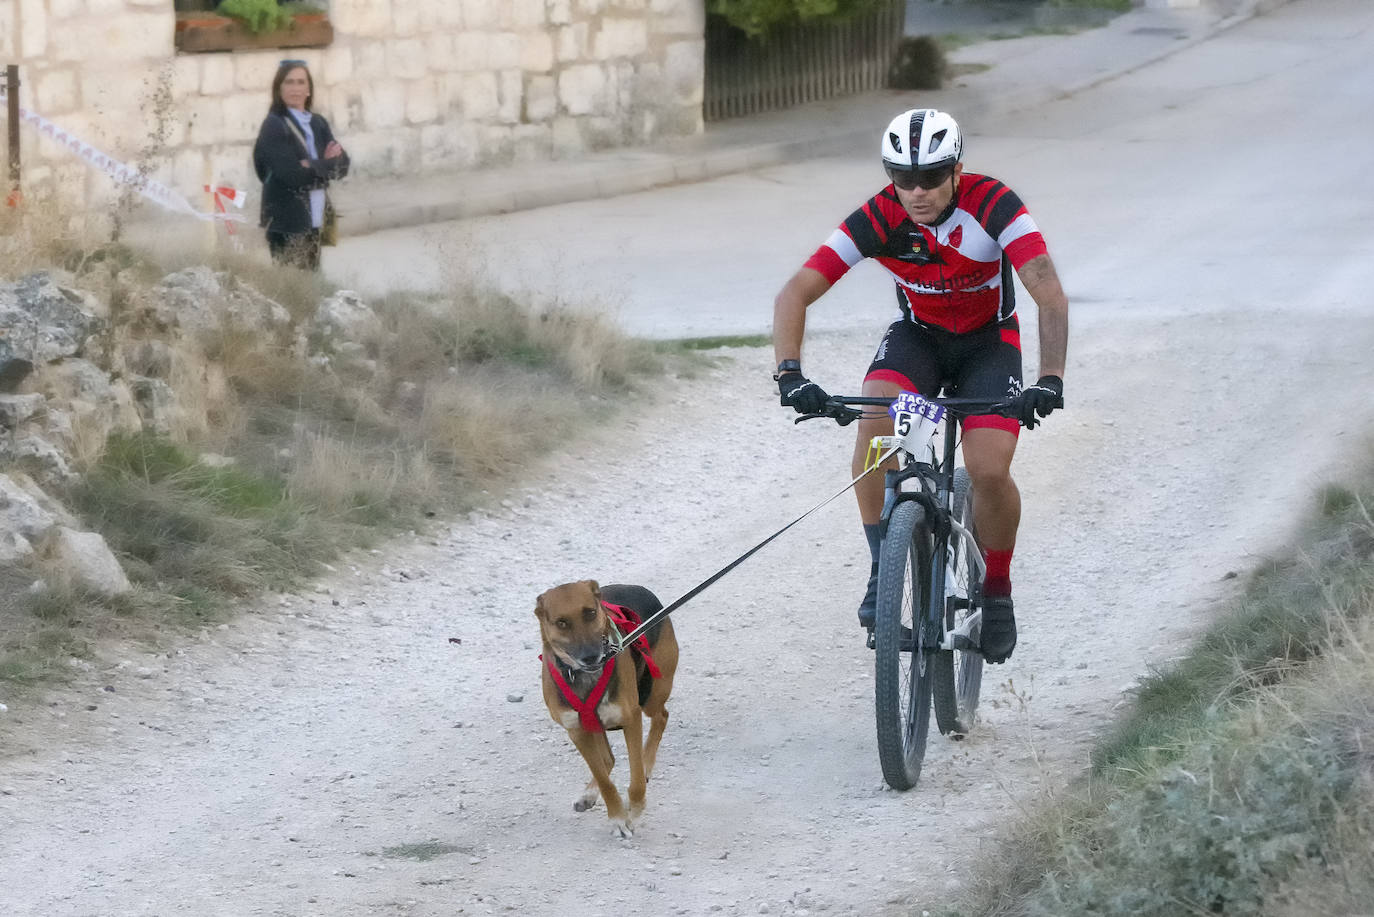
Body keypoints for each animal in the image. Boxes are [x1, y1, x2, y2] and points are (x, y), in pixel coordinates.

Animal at [541, 585, 681, 835]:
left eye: (591, 612)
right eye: (561, 622)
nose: (591, 656)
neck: (583, 677)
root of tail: (639, 588)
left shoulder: (630, 718)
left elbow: (635, 779)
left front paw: (635, 809)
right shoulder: (577, 731)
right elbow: (604, 778)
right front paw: (617, 817)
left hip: (652, 693)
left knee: (662, 717)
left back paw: (646, 765)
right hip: (595, 724)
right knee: (608, 759)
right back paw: (588, 794)